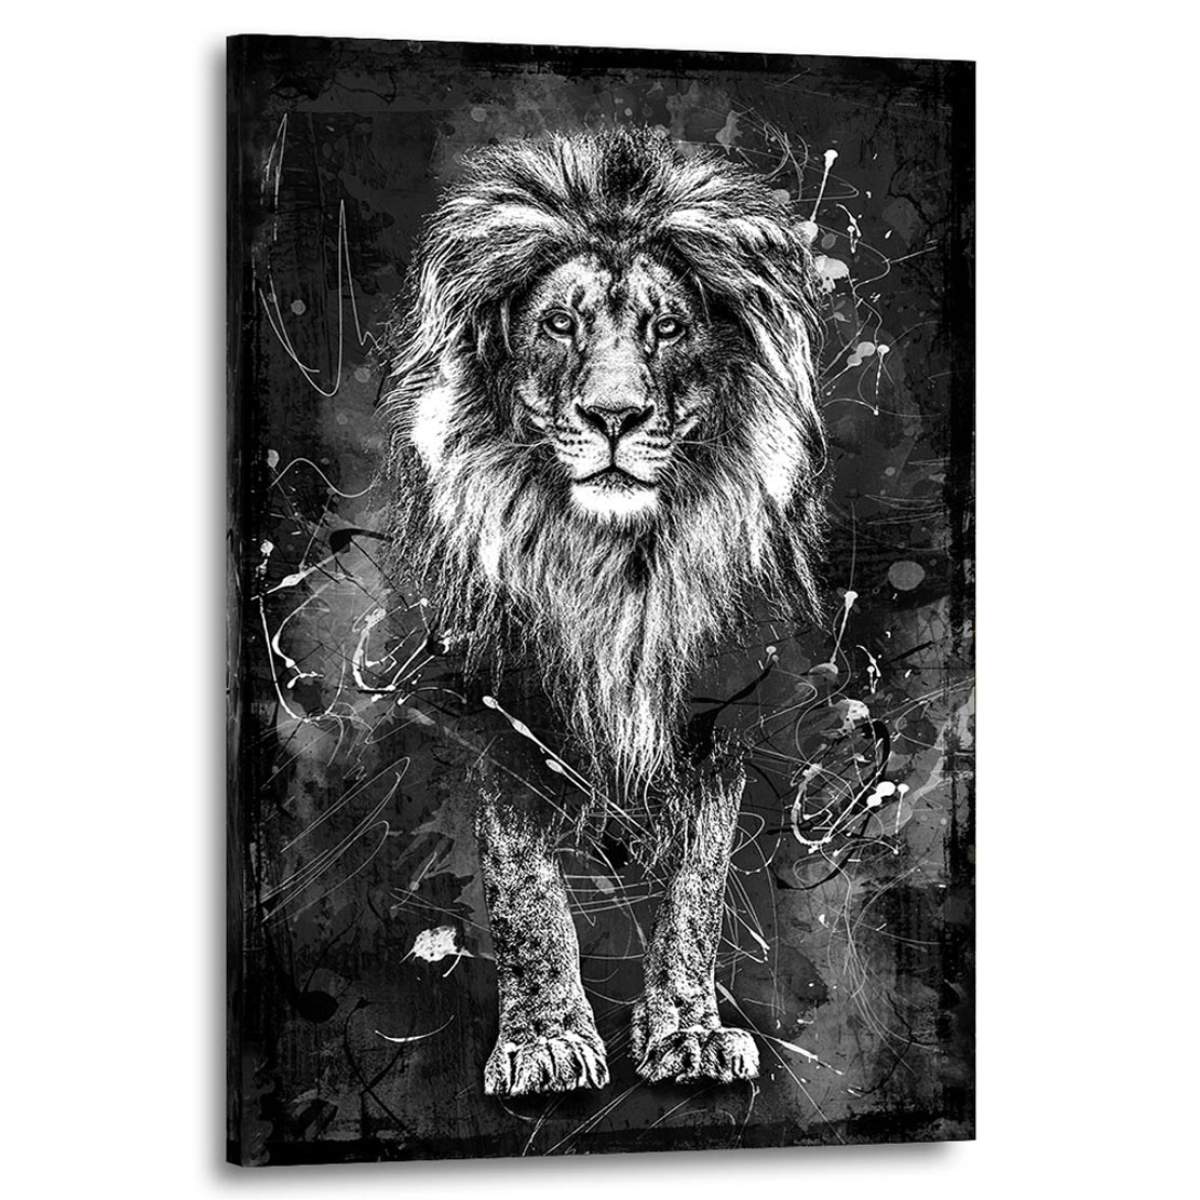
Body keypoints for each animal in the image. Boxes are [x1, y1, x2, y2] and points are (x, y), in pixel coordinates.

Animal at [379, 126, 827, 1096]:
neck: (617, 569)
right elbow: (525, 889)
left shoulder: (714, 713)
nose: (613, 415)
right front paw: (545, 1039)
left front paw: (689, 1031)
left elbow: (699, 887)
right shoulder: (495, 702)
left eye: (668, 326)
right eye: (559, 324)